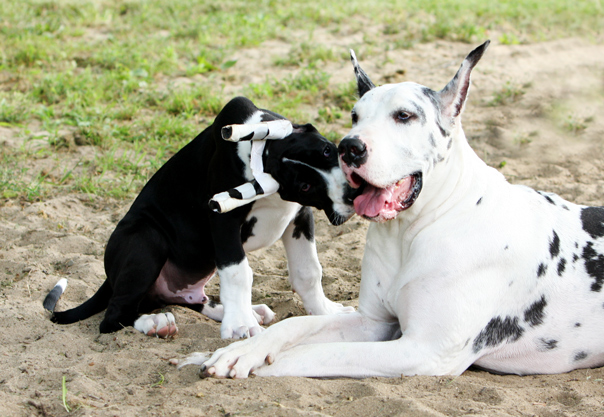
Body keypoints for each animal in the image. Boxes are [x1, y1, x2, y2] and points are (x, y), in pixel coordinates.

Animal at [46, 96, 354, 338]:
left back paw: (244, 311)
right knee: (113, 317)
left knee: (185, 299)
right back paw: (155, 322)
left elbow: (308, 270)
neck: (261, 151)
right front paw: (241, 325)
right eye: (304, 185)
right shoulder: (222, 219)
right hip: (147, 238)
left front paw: (326, 311)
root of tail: (110, 278)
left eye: (328, 150)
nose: (352, 192)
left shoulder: (299, 216)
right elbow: (238, 273)